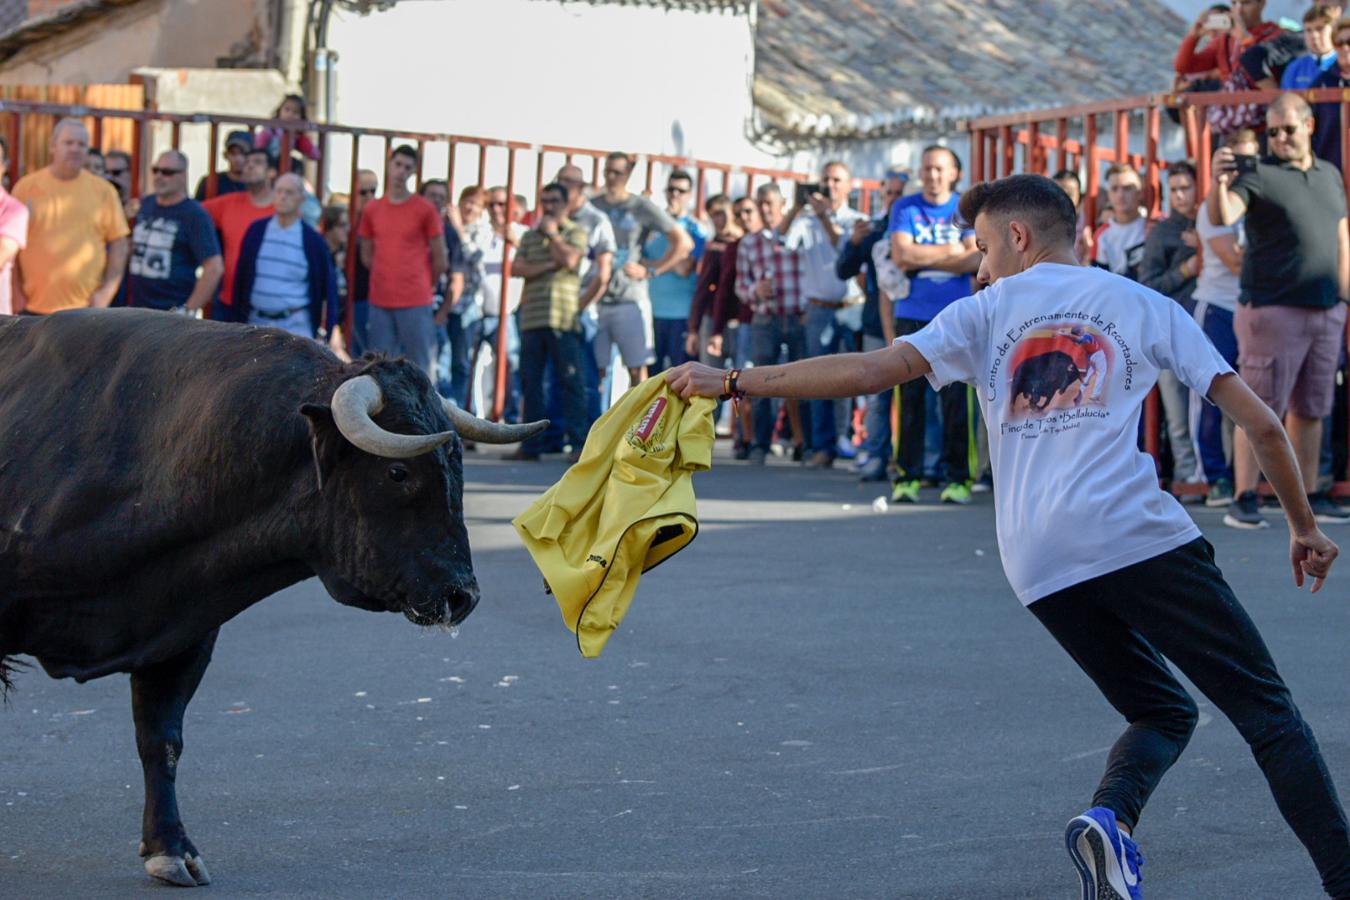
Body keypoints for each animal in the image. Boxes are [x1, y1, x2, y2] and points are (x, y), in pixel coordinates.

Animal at [0, 310, 542, 885]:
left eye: (457, 463)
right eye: (398, 472)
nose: (462, 595)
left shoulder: (183, 632)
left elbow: (161, 740)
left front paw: (171, 847)